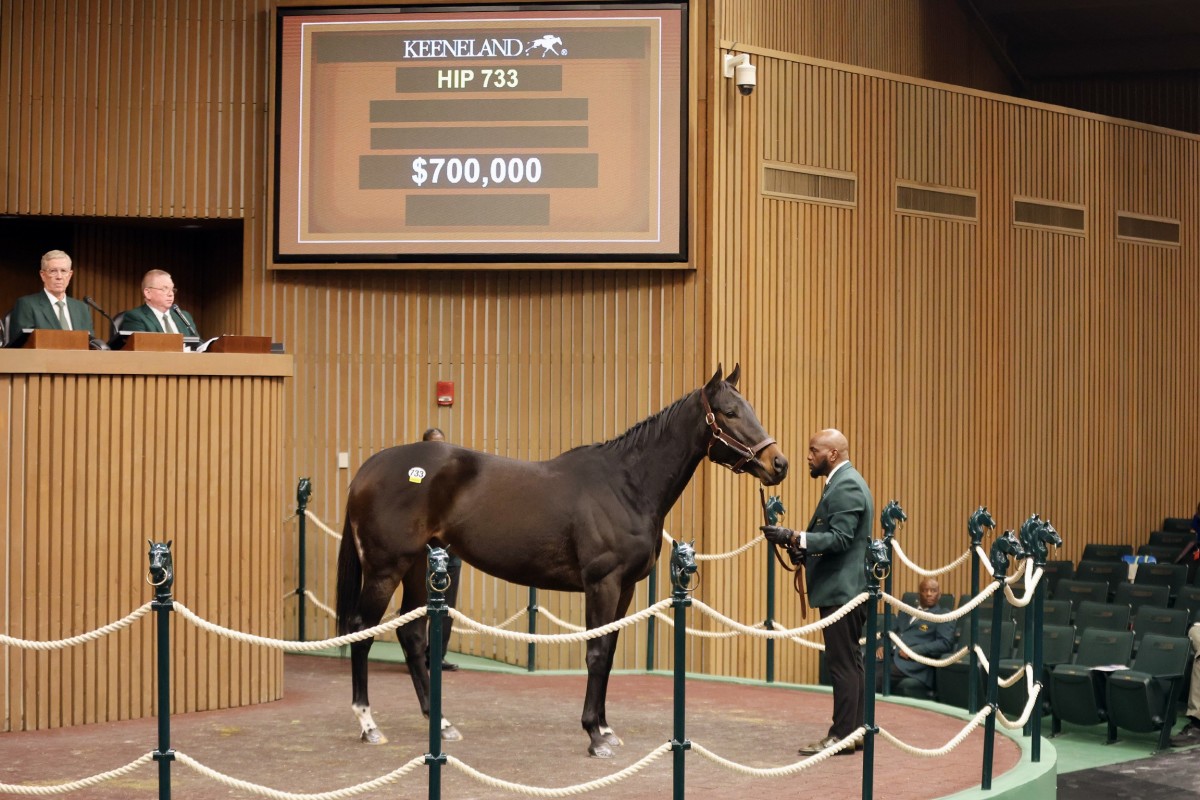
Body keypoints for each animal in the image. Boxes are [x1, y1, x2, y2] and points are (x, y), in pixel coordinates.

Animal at [336, 362, 787, 758]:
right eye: (729, 412)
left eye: (750, 408)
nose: (778, 463)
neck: (626, 485)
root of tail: (369, 469)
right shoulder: (602, 583)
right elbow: (597, 653)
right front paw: (595, 736)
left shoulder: (625, 588)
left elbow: (609, 649)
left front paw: (605, 727)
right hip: (385, 569)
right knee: (363, 630)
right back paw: (368, 724)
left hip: (417, 566)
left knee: (411, 635)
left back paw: (441, 722)